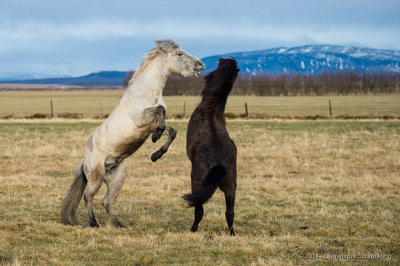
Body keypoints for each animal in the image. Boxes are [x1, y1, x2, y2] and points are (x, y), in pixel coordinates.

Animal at [61, 39, 205, 227]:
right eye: (179, 53)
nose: (200, 64)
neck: (145, 94)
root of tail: (85, 161)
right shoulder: (142, 119)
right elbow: (160, 110)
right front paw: (156, 138)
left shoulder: (150, 124)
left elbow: (171, 131)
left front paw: (156, 154)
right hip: (96, 177)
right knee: (88, 197)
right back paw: (94, 224)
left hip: (117, 178)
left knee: (107, 201)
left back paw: (119, 225)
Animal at [184, 57, 239, 235]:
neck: (210, 108)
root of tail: (219, 164)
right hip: (231, 186)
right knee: (230, 213)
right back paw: (231, 233)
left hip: (197, 181)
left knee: (199, 209)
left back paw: (193, 229)